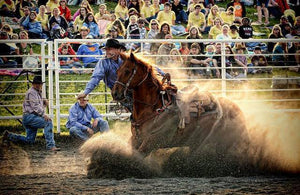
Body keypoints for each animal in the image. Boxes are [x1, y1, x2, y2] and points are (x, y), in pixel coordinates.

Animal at [111, 51, 250, 157]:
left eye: (127, 71)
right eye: (117, 71)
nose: (115, 93)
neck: (154, 109)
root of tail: (238, 110)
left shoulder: (152, 142)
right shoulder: (135, 140)